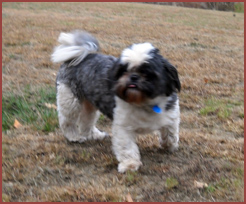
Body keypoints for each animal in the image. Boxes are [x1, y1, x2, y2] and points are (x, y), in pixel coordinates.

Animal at [51, 30, 181, 173]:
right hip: (70, 101)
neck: (143, 102)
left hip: (90, 105)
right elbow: (127, 147)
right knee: (68, 121)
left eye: (147, 73)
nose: (133, 77)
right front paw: (130, 164)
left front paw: (169, 146)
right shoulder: (123, 126)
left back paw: (95, 135)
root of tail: (81, 56)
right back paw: (74, 136)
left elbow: (171, 133)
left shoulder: (170, 116)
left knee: (86, 121)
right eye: (124, 71)